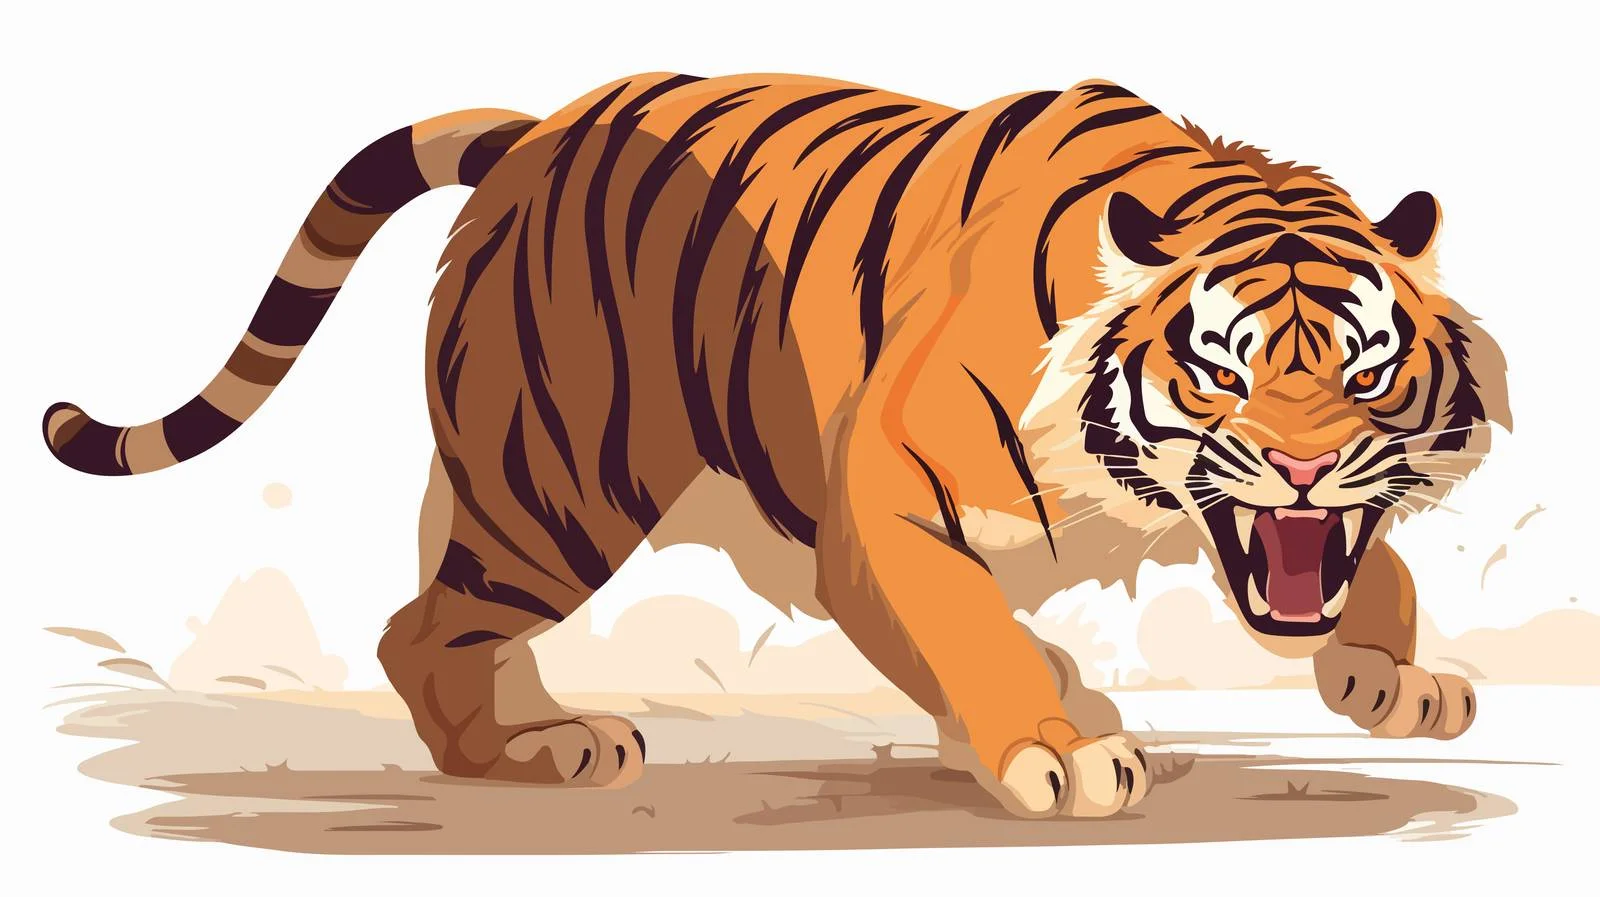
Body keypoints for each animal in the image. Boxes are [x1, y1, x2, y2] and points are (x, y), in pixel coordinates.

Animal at [42, 72, 1510, 819]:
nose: (1305, 468)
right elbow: (960, 623)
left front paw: (1391, 677)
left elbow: (1375, 563)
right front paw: (1058, 750)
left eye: (1369, 375)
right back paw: (526, 753)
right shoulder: (889, 494)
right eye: (1221, 374)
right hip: (559, 479)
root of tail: (535, 130)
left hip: (510, 479)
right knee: (422, 627)